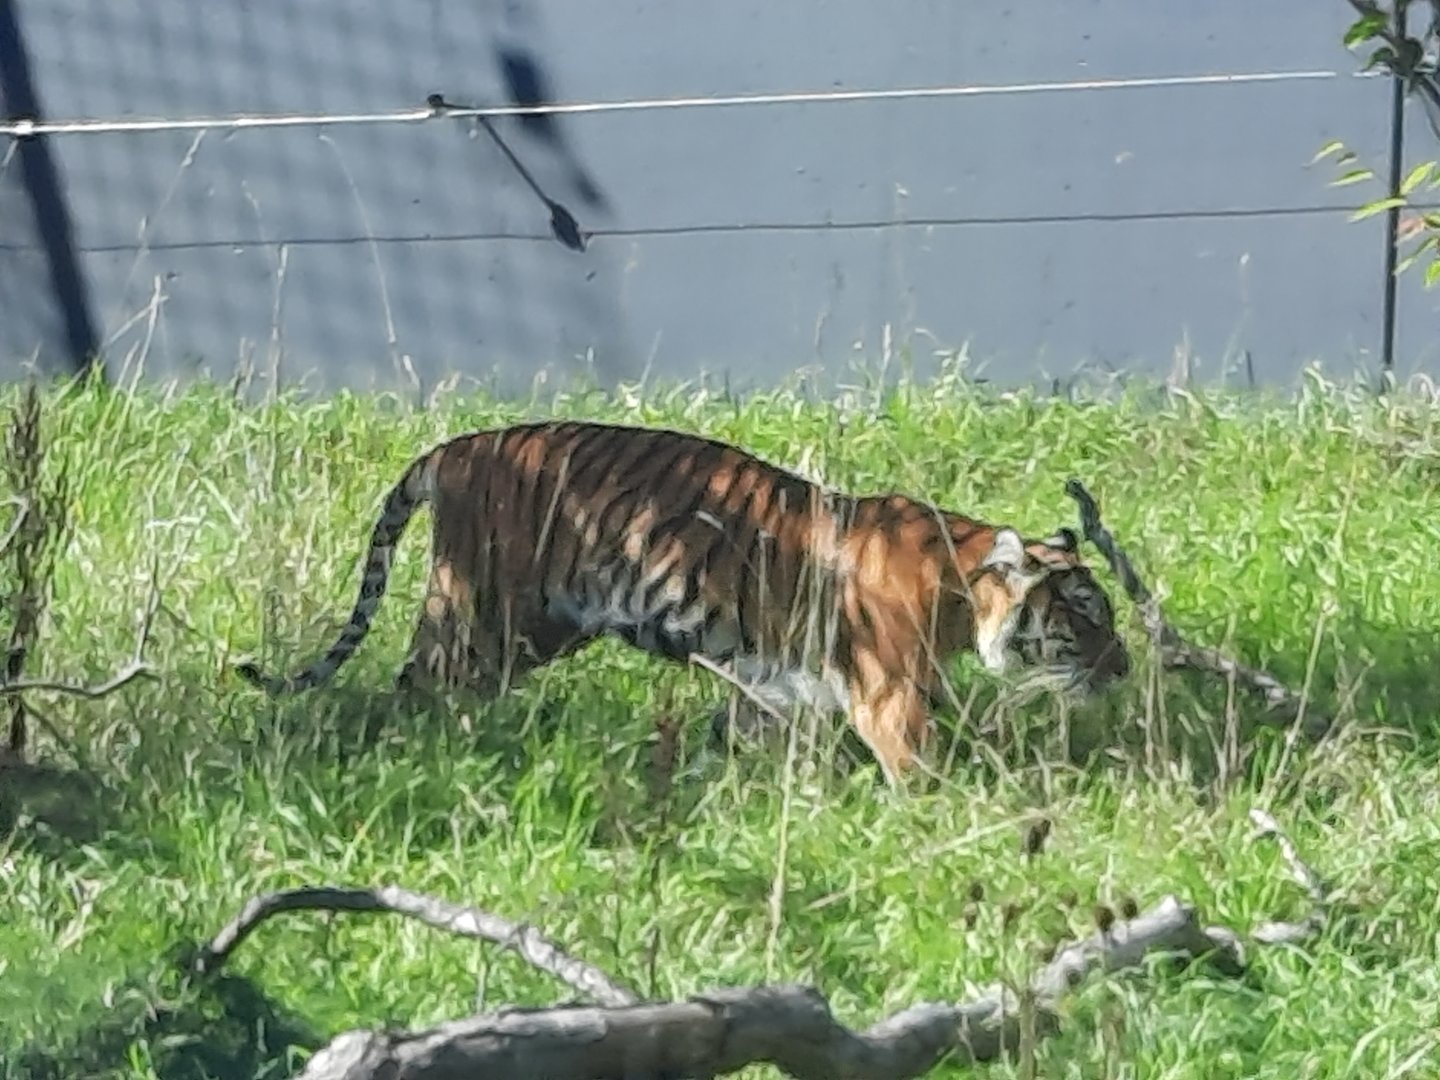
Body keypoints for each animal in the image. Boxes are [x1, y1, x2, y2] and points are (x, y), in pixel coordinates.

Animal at [235, 419, 1131, 786]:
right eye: (1085, 615)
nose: (1123, 668)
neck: (958, 589)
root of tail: (453, 447)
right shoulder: (889, 701)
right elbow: (925, 771)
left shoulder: (773, 689)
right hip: (481, 615)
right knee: (414, 686)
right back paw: (433, 756)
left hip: (532, 630)